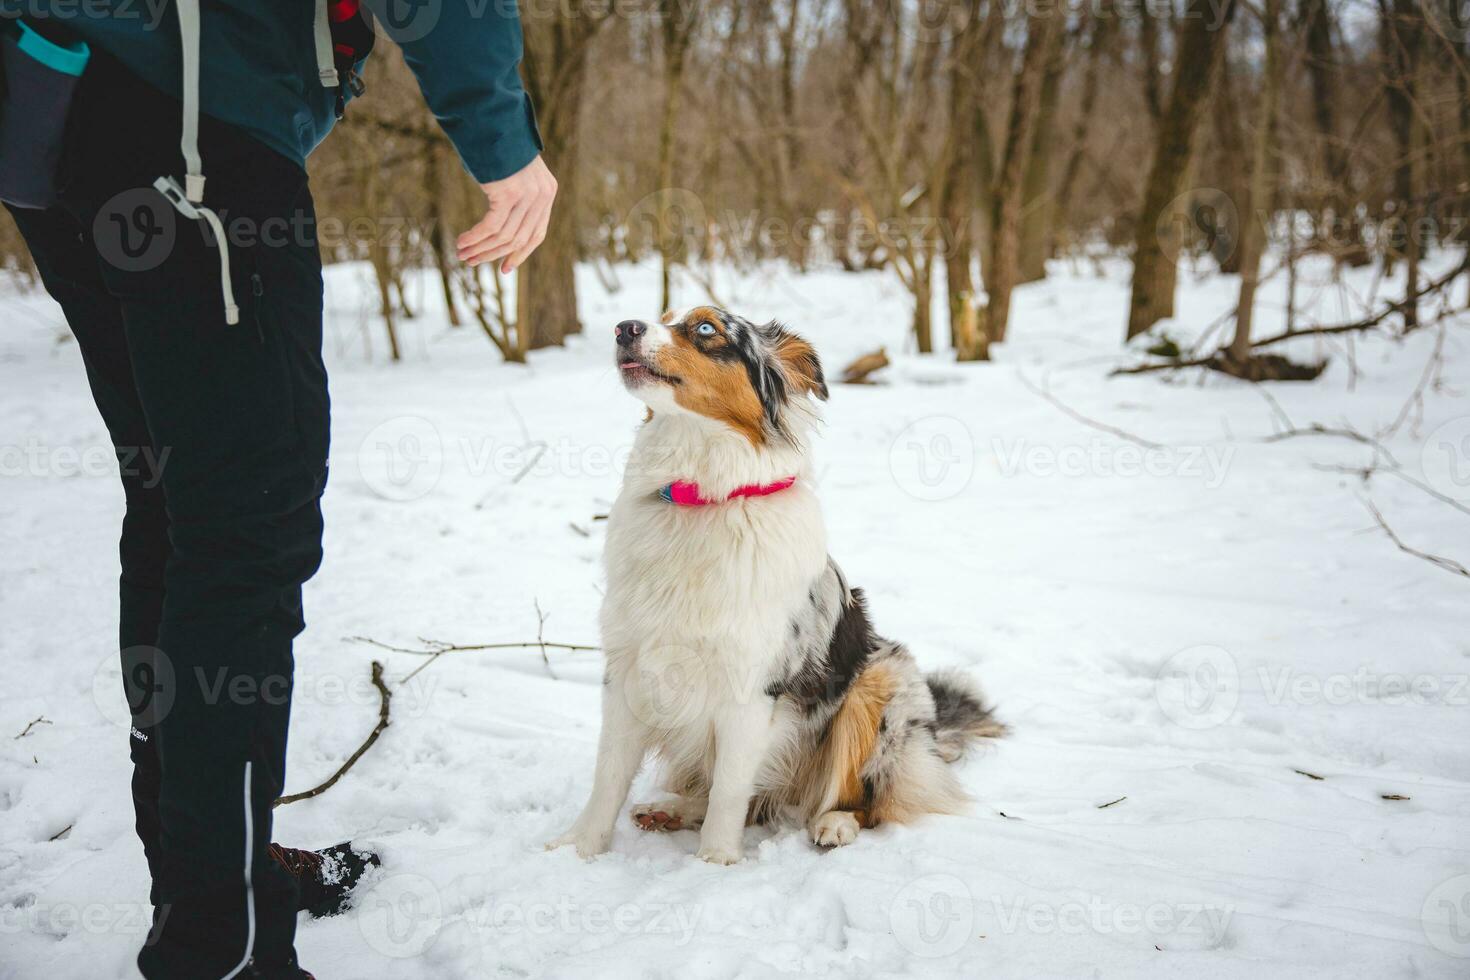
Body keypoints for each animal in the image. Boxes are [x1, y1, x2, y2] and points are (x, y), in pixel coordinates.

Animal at [546, 307, 1005, 863]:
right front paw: (579, 847)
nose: (624, 328)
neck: (704, 496)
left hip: (880, 684)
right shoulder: (630, 668)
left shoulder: (752, 685)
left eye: (706, 329)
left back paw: (835, 823)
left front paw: (715, 863)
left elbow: (730, 790)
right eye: (662, 318)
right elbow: (608, 776)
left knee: (860, 799)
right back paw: (671, 809)